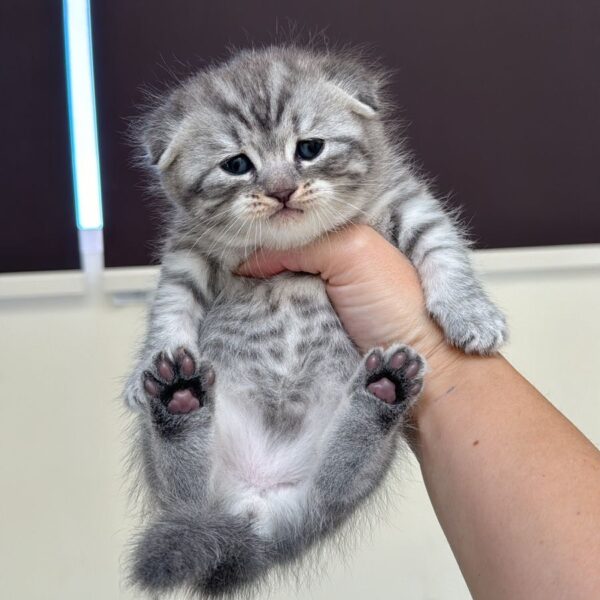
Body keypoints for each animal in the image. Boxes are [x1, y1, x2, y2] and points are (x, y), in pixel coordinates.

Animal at [125, 45, 506, 596]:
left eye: (309, 148)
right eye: (237, 165)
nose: (282, 190)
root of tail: (256, 512)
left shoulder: (405, 199)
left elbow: (442, 248)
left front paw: (470, 311)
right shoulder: (187, 250)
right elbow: (171, 304)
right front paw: (145, 367)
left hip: (349, 476)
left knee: (341, 476)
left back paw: (383, 390)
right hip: (185, 486)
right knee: (185, 494)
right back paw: (178, 395)